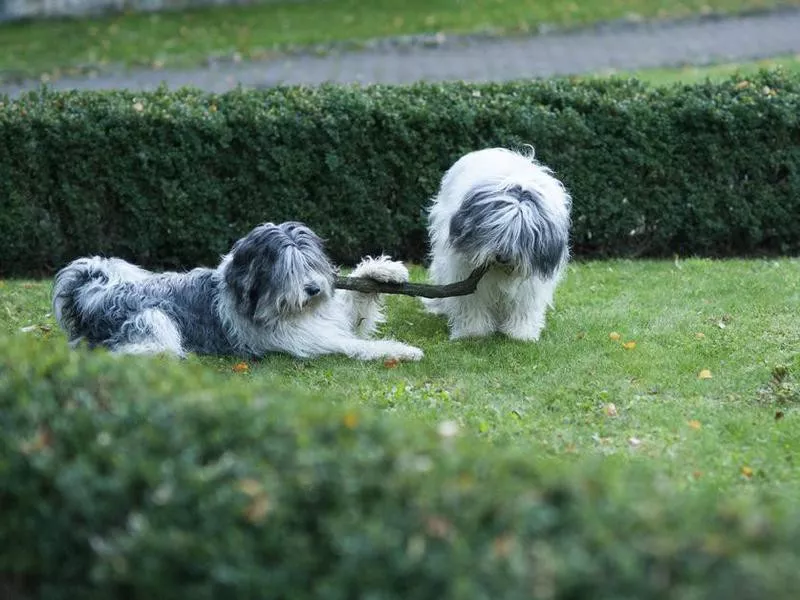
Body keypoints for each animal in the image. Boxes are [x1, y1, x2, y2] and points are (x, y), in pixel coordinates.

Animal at [52, 220, 422, 360]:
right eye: (288, 270)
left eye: (311, 263)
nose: (314, 290)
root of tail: (91, 294)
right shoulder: (301, 338)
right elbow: (349, 343)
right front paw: (399, 350)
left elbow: (355, 306)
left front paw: (386, 270)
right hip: (152, 318)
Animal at [424, 146, 568, 342]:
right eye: (495, 230)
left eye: (523, 236)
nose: (503, 257)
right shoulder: (463, 271)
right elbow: (472, 303)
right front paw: (473, 331)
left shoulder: (531, 283)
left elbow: (524, 305)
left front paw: (520, 333)